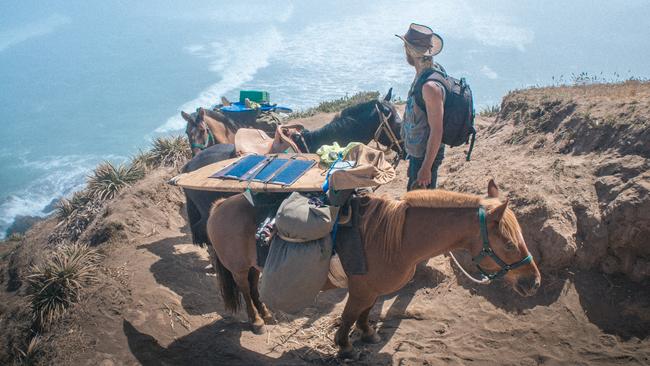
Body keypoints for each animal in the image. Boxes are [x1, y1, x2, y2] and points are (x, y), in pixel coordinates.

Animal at [205, 180, 540, 358]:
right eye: (509, 244)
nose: (533, 282)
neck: (398, 239)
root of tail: (219, 205)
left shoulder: (372, 290)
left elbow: (365, 314)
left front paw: (367, 335)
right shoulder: (360, 289)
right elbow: (349, 315)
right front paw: (344, 346)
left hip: (252, 265)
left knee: (254, 284)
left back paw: (267, 314)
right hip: (237, 268)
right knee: (245, 288)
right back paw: (256, 321)